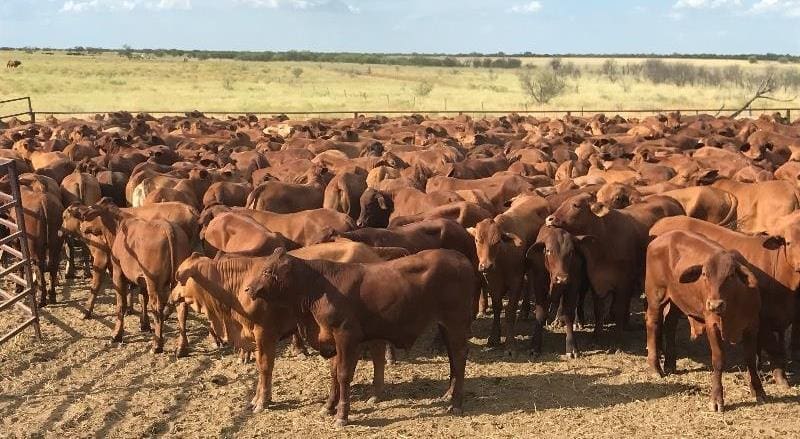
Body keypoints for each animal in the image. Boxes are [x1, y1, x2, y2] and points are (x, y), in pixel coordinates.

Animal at [644, 230, 764, 412]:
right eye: (704, 274)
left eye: (730, 276)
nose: (715, 305)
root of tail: (661, 237)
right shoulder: (712, 325)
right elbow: (718, 359)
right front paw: (717, 399)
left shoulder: (752, 325)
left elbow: (750, 358)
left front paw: (758, 390)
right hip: (656, 295)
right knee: (653, 323)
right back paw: (655, 367)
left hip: (677, 299)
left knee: (670, 324)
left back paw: (670, 363)